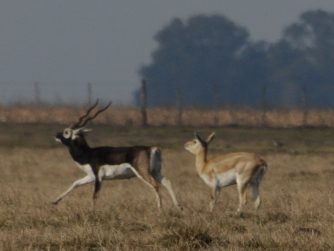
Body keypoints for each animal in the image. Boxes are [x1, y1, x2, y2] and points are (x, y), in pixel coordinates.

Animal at [53, 100, 181, 210]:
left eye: (66, 132)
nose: (56, 135)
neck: (88, 154)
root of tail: (151, 148)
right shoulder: (91, 176)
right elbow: (75, 183)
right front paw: (55, 201)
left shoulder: (98, 177)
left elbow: (94, 195)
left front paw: (92, 212)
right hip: (155, 172)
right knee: (167, 182)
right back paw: (178, 207)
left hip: (143, 173)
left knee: (156, 185)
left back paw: (160, 209)